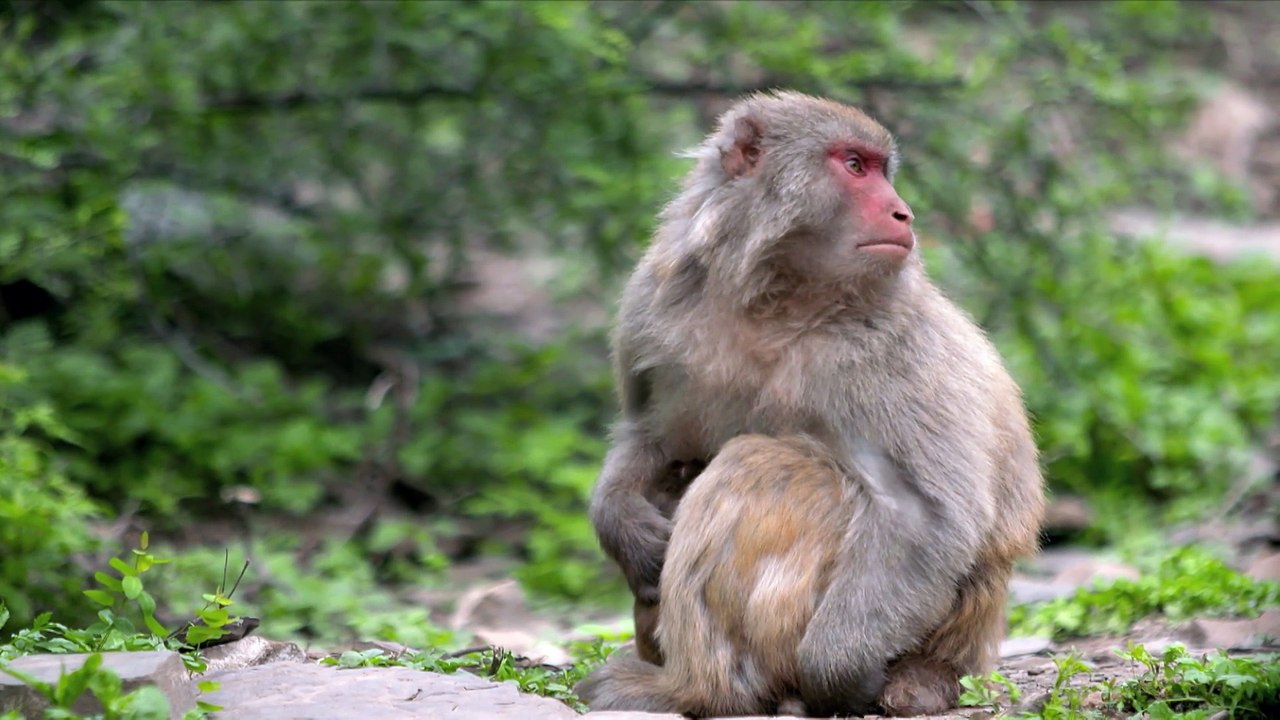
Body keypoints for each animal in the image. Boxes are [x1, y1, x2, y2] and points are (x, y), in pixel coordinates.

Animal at [577, 90, 1044, 717]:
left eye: (880, 169)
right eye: (855, 166)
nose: (903, 213)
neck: (776, 298)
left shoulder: (889, 342)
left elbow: (921, 512)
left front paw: (839, 675)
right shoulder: (654, 299)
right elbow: (648, 434)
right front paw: (623, 526)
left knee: (756, 465)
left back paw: (697, 690)